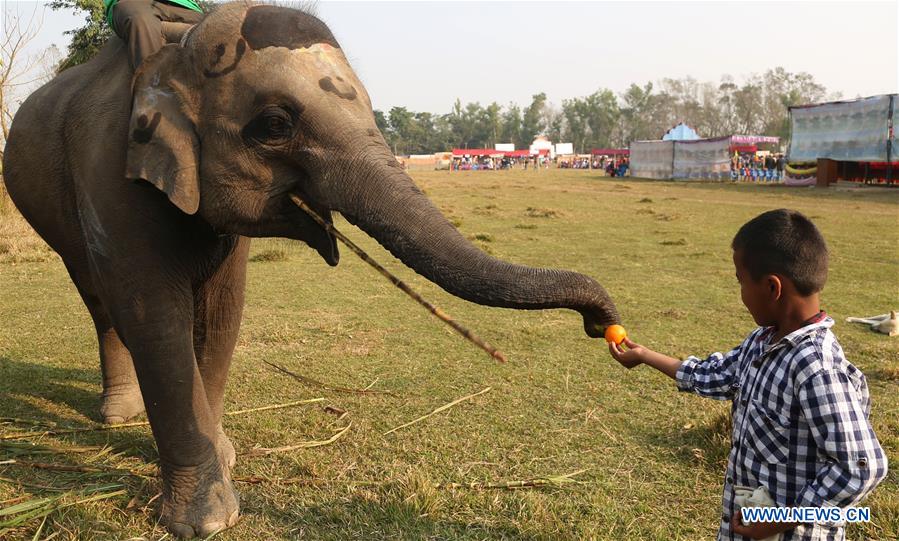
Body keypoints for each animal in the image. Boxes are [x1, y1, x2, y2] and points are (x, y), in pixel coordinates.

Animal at [2, 2, 620, 537]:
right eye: (275, 124)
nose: (604, 327)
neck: (176, 54)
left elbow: (223, 311)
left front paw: (224, 453)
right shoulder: (111, 174)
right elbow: (153, 316)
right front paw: (206, 521)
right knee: (100, 300)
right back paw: (118, 414)